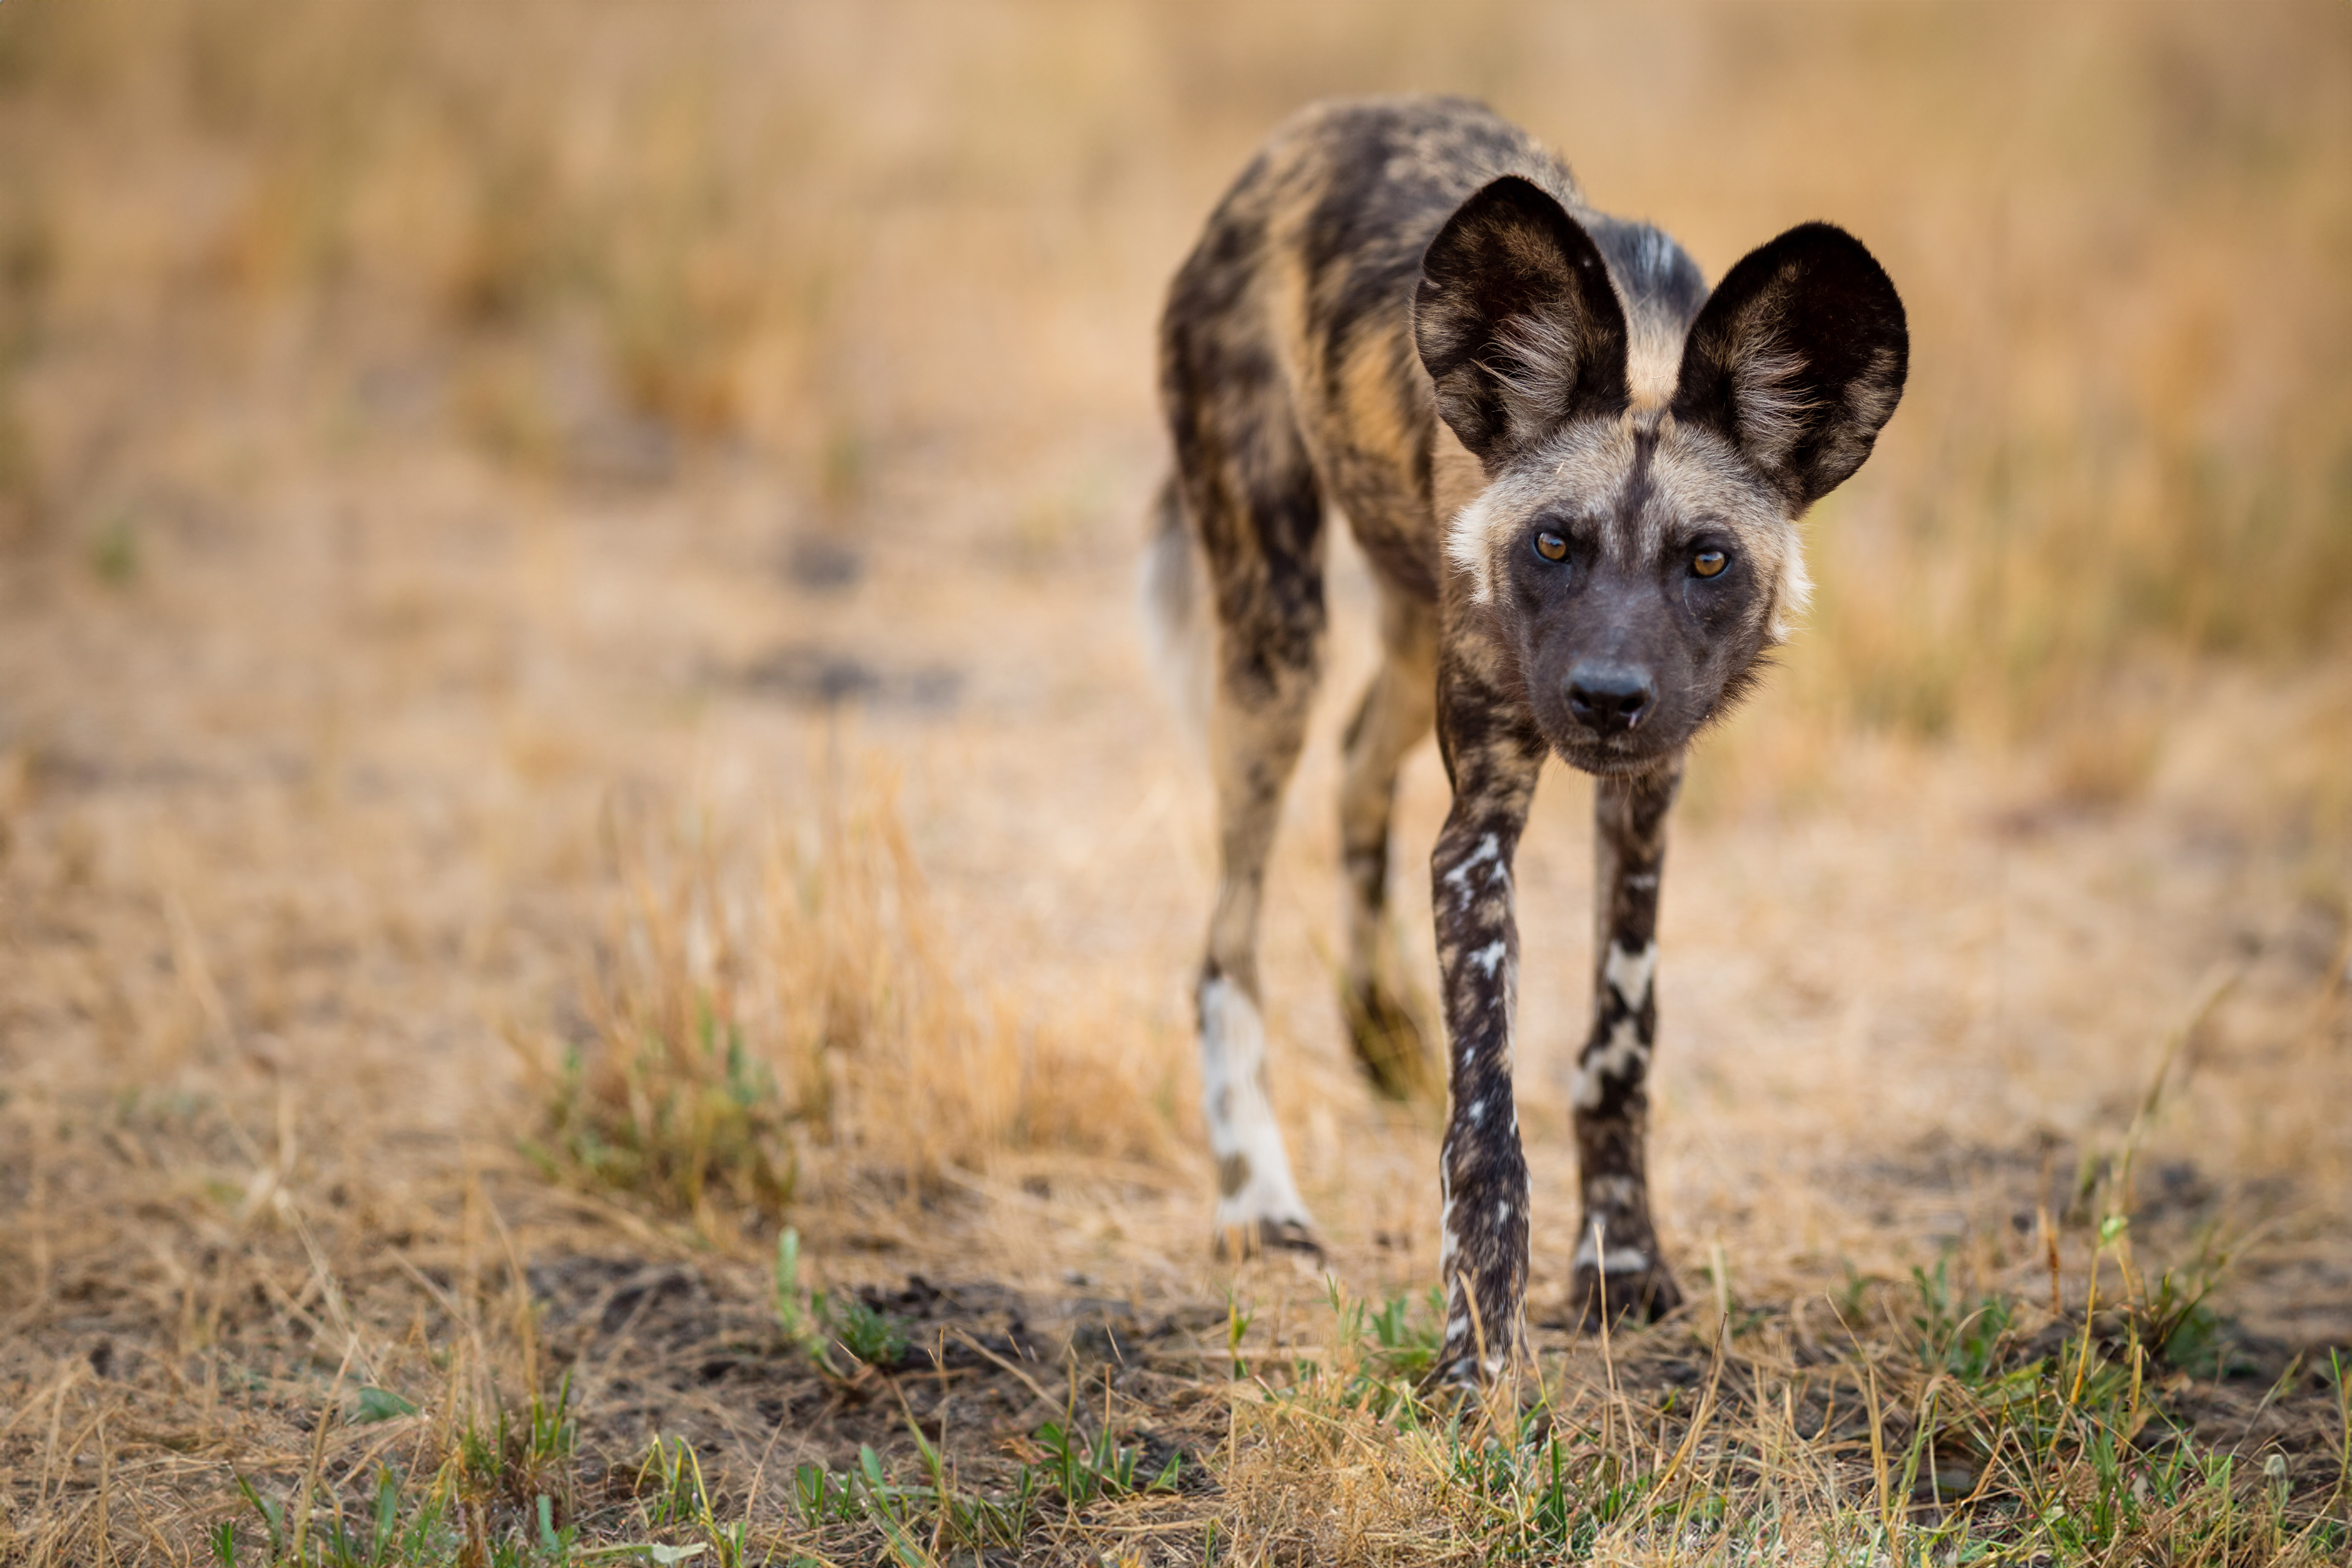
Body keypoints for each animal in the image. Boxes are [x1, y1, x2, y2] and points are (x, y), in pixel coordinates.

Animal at [1143, 98, 1910, 1382]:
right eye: (1554, 542)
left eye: (1707, 558)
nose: (1603, 696)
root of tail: (1305, 133)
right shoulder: (1479, 831)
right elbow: (1486, 1122)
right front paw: (1476, 1355)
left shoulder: (1647, 790)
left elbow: (1620, 1038)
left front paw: (1619, 1256)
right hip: (1274, 639)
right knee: (1226, 937)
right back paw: (1259, 1199)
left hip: (1410, 634)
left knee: (1355, 773)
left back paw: (1377, 1026)